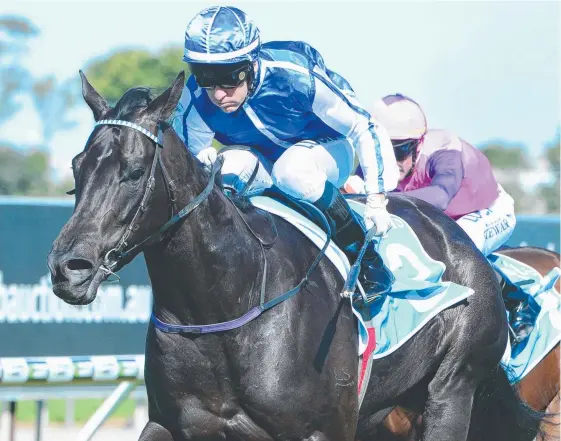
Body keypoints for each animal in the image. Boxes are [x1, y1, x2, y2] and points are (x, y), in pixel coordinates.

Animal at [48, 70, 544, 438]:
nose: (69, 269)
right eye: (77, 166)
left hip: (451, 389)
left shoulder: (324, 429)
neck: (229, 301)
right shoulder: (172, 424)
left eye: (133, 172)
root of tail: (465, 245)